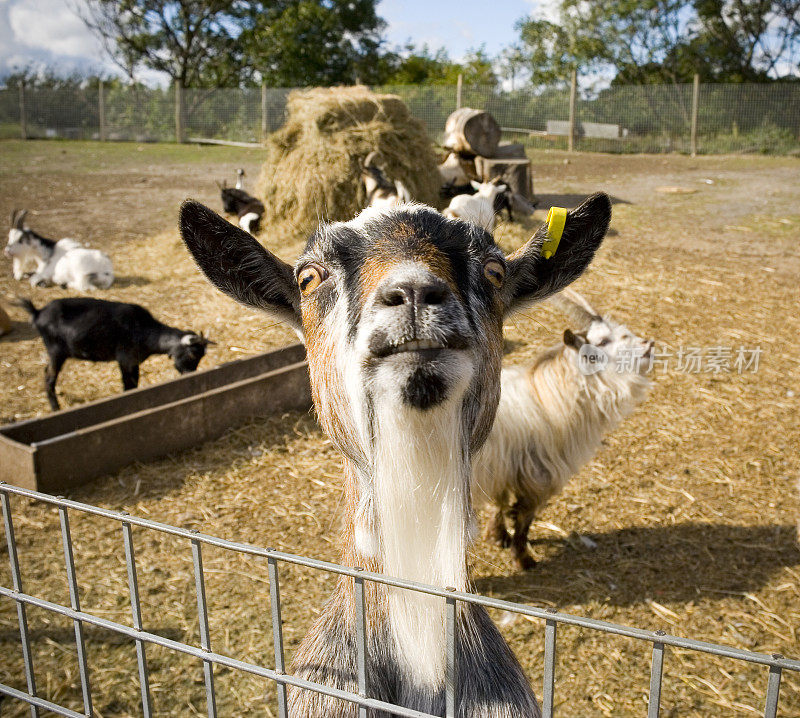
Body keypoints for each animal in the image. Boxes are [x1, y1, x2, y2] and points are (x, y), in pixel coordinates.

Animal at [17, 296, 211, 410]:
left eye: (202, 357)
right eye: (192, 355)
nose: (190, 374)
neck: (145, 331)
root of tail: (37, 313)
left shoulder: (133, 362)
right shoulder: (126, 359)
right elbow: (129, 386)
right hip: (56, 351)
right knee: (49, 377)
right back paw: (56, 408)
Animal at [476, 290, 648, 572]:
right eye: (602, 341)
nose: (647, 345)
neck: (546, 399)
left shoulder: (502, 467)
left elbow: (499, 501)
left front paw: (497, 536)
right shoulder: (537, 476)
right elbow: (523, 520)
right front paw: (524, 560)